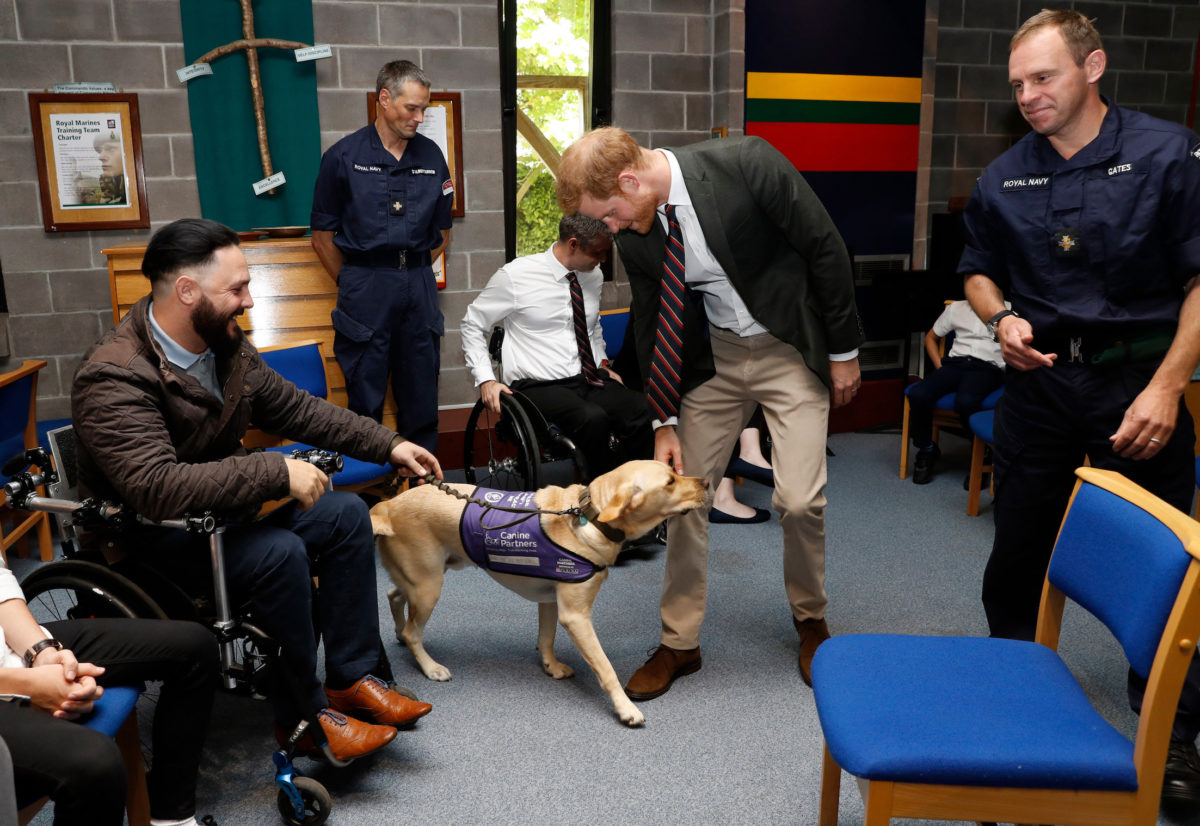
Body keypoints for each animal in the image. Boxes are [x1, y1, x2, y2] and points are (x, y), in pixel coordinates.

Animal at [364, 461, 700, 725]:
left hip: (421, 580)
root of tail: (387, 506)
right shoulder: (576, 616)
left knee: (394, 597)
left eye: (674, 472)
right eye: (670, 481)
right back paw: (430, 667)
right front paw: (624, 708)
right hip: (429, 587)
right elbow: (605, 668)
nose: (705, 483)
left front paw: (551, 666)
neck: (590, 517)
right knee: (414, 632)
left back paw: (398, 631)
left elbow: (546, 638)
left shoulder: (549, 600)